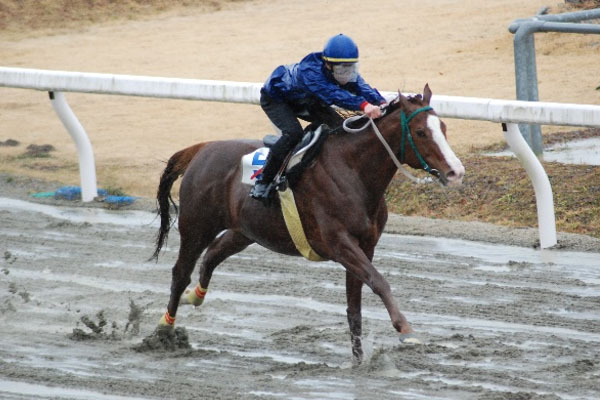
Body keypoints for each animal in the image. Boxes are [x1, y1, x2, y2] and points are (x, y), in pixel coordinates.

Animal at [150, 84, 465, 363]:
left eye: (444, 128)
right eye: (421, 132)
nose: (456, 172)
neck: (353, 171)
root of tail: (202, 148)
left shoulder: (366, 245)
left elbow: (355, 307)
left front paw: (359, 361)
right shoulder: (339, 244)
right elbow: (379, 282)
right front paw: (406, 331)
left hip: (245, 231)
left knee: (213, 256)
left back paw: (194, 298)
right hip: (196, 225)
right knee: (180, 273)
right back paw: (163, 330)